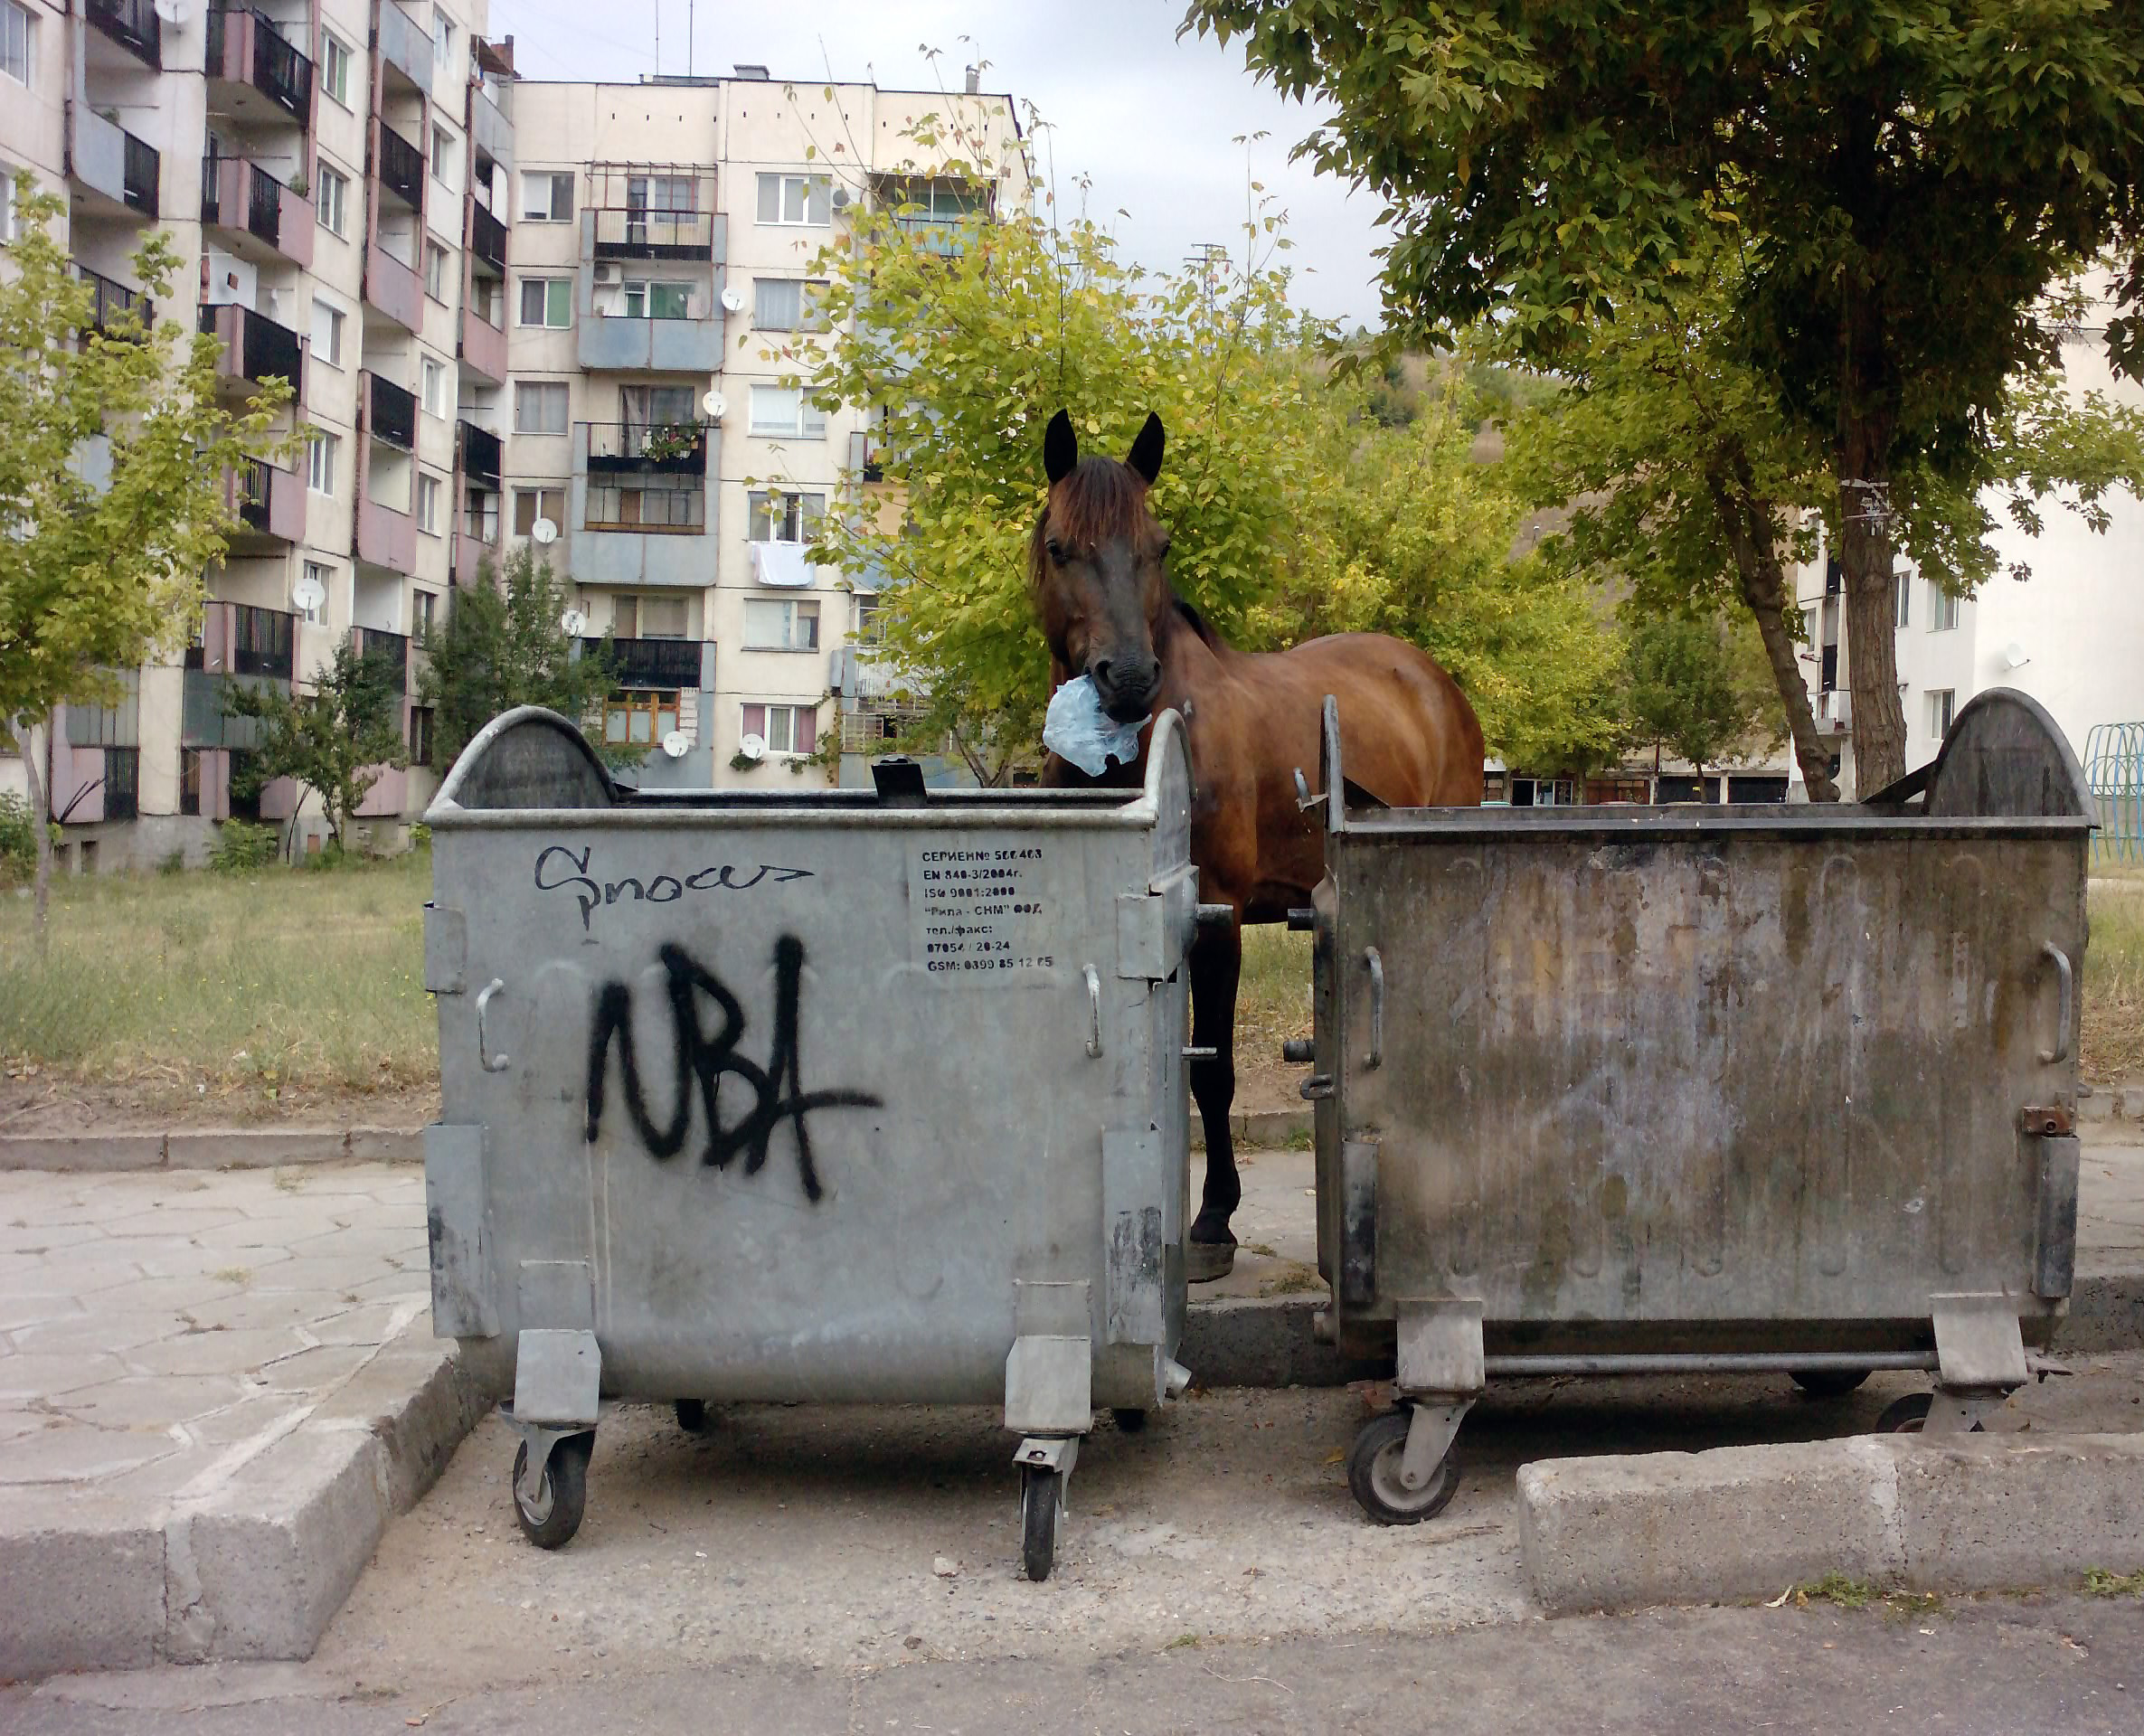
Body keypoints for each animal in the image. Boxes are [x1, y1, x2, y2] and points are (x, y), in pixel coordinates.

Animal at [1033, 405, 1475, 1269]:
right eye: (1060, 546)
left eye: (1160, 544)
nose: (1127, 679)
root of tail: (1430, 678)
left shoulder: (1219, 918)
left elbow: (1211, 1073)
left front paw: (1212, 1220)